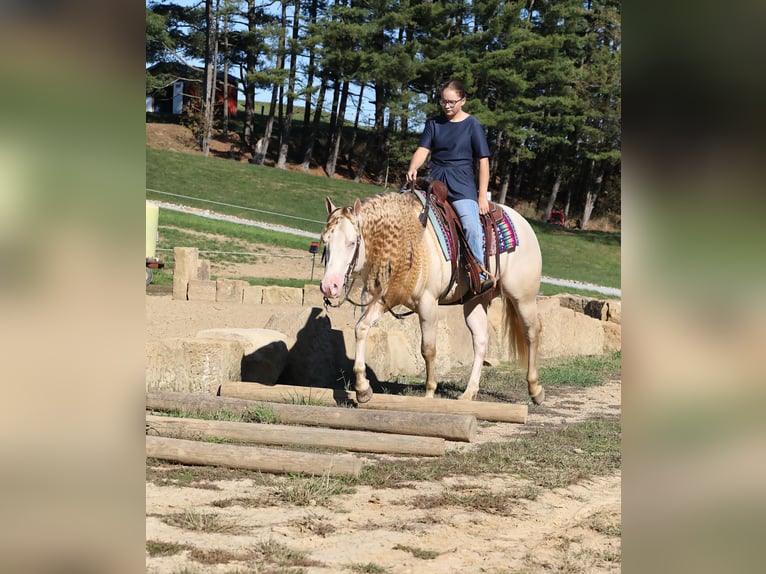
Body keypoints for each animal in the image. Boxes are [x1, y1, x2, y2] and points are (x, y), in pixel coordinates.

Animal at [318, 192, 544, 404]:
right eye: (325, 242)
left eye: (352, 242)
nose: (330, 286)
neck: (404, 243)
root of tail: (523, 222)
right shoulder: (379, 300)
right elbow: (361, 330)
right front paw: (363, 389)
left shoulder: (428, 305)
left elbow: (428, 349)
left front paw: (429, 393)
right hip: (475, 301)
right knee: (480, 341)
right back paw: (469, 393)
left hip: (523, 298)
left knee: (532, 332)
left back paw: (535, 390)